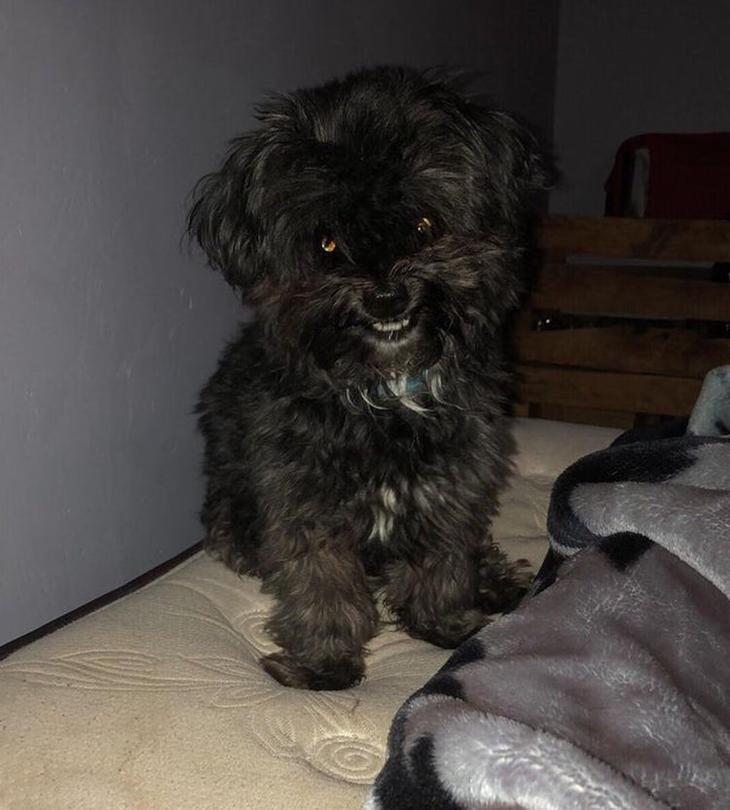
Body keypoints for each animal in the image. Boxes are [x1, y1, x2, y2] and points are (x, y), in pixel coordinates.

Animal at [188, 66, 551, 690]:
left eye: (425, 224)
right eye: (327, 241)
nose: (386, 297)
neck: (387, 390)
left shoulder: (452, 482)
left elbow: (442, 558)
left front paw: (444, 623)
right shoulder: (303, 499)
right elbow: (321, 582)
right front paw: (324, 662)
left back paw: (492, 576)